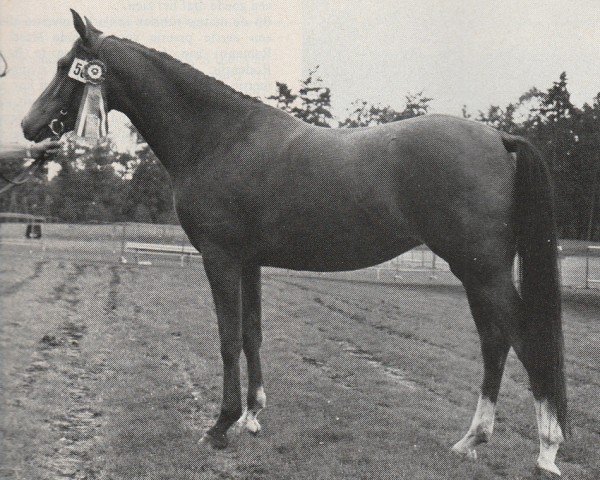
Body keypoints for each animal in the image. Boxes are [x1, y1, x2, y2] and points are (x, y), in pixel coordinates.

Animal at [21, 11, 568, 476]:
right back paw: (472, 440)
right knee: (496, 342)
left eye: (66, 68)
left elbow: (226, 337)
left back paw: (545, 450)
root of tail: (499, 137)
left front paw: (219, 426)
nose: (29, 126)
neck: (219, 137)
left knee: (522, 340)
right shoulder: (249, 262)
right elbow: (251, 333)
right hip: (477, 271)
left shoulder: (221, 259)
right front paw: (252, 417)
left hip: (482, 270)